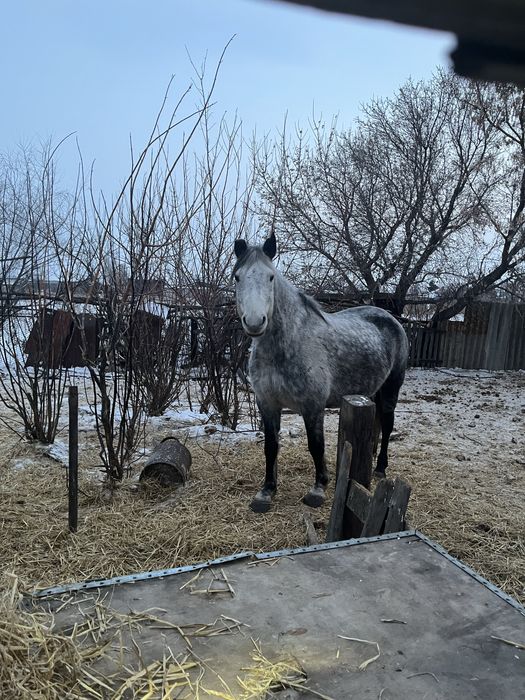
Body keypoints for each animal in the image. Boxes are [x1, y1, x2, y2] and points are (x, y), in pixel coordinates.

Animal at [233, 233, 409, 513]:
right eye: (237, 277)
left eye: (270, 277)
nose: (254, 322)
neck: (287, 344)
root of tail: (389, 318)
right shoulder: (267, 404)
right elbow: (271, 447)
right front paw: (266, 492)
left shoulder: (312, 406)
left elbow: (316, 446)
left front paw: (318, 489)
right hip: (371, 391)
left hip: (392, 387)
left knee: (389, 424)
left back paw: (380, 469)